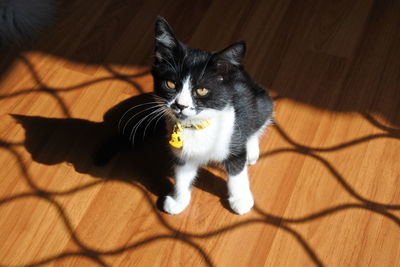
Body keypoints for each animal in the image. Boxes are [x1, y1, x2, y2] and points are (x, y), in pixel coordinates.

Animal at [151, 17, 276, 216]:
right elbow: (182, 175)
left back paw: (251, 149)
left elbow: (237, 170)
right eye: (170, 84)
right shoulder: (182, 152)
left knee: (257, 119)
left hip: (261, 101)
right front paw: (178, 201)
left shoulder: (233, 133)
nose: (181, 105)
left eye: (201, 90)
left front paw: (241, 199)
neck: (198, 125)